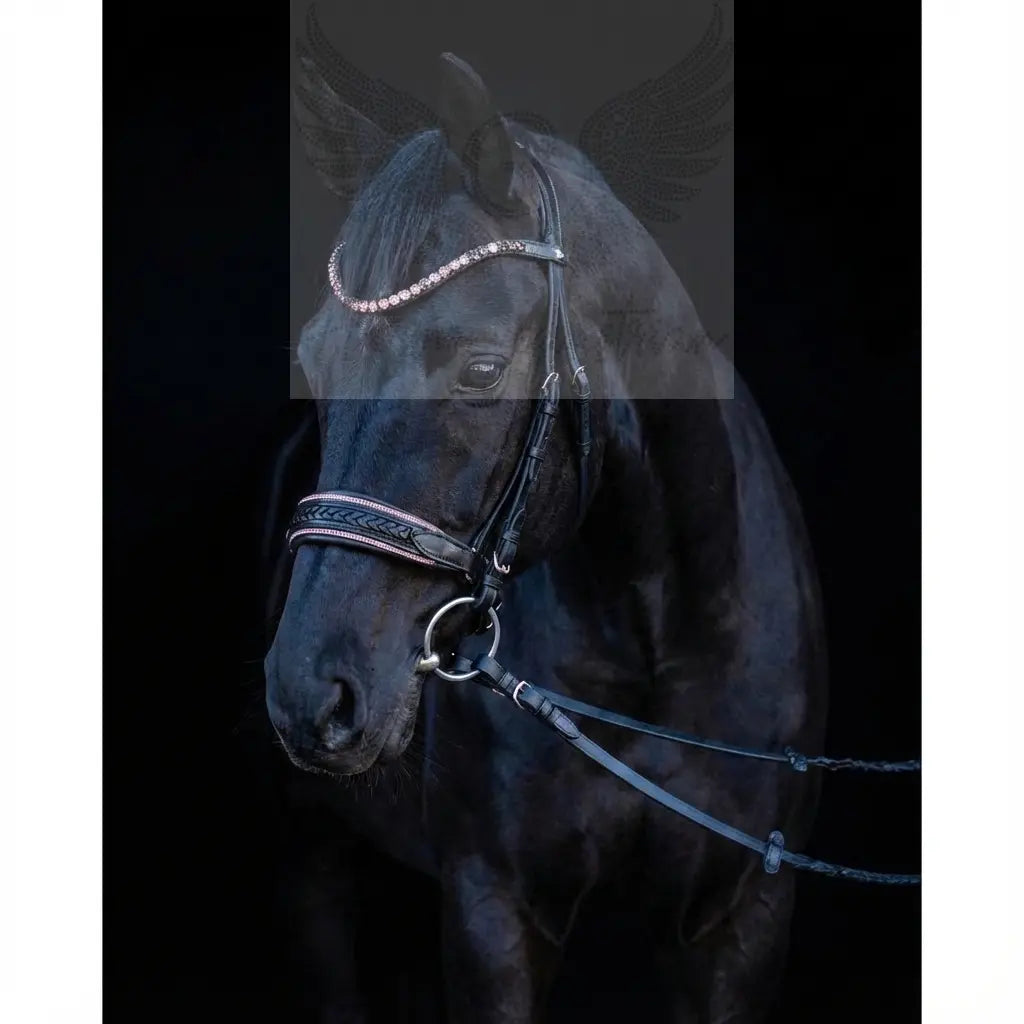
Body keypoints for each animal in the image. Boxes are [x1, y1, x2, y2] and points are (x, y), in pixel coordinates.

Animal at [264, 46, 827, 1024]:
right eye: (313, 361)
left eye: (483, 369)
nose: (309, 692)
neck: (653, 636)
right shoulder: (494, 911)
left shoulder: (741, 918)